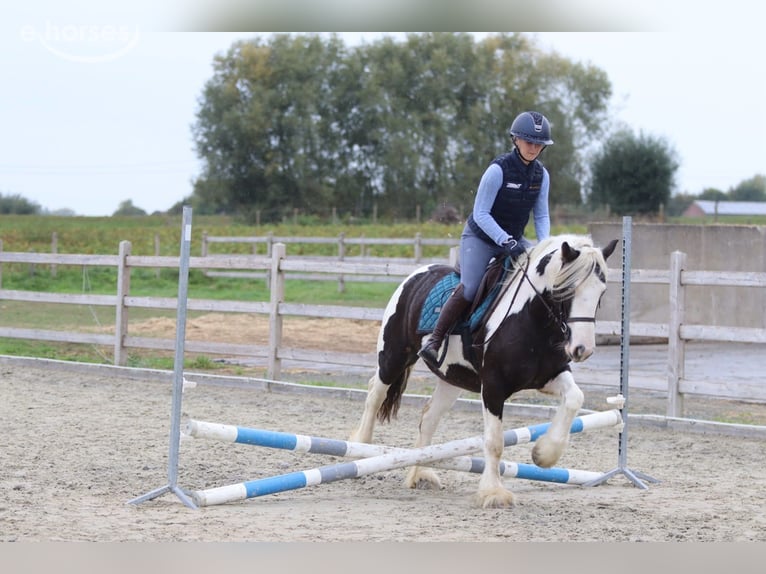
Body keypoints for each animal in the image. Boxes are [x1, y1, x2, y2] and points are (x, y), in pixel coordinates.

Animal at [349, 233, 618, 508]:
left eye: (601, 292)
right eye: (566, 290)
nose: (582, 349)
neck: (530, 320)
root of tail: (418, 274)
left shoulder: (550, 376)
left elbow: (575, 398)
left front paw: (544, 454)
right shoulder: (493, 386)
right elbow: (494, 441)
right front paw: (493, 493)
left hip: (452, 379)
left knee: (429, 417)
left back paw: (422, 473)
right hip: (393, 357)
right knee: (375, 394)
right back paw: (360, 448)